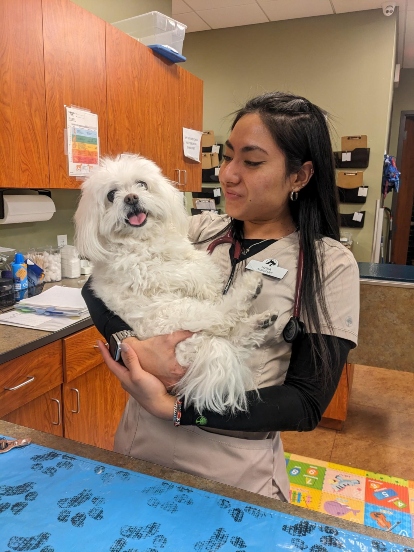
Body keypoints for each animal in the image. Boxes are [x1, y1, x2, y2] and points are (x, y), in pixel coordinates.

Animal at [75, 155, 274, 414]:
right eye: (111, 195)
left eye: (142, 184)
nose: (131, 198)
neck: (145, 240)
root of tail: (202, 350)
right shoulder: (146, 272)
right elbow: (189, 273)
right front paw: (208, 282)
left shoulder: (182, 253)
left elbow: (196, 260)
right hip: (179, 314)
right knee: (223, 318)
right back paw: (250, 289)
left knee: (235, 335)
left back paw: (261, 321)